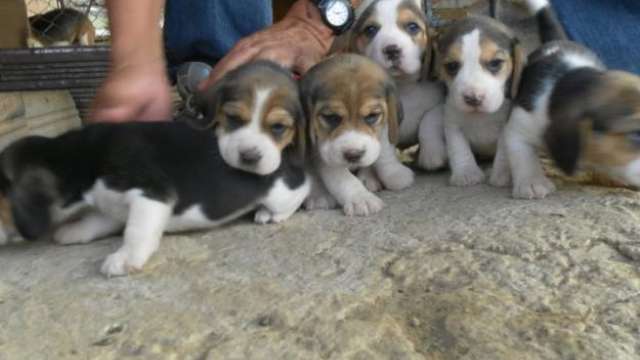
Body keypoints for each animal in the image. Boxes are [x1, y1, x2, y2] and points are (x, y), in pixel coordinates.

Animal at [0, 61, 310, 276]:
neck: (85, 157)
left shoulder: (150, 195)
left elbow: (136, 232)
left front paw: (124, 259)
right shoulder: (112, 204)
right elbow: (98, 220)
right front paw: (75, 230)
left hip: (280, 192)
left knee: (298, 194)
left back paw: (269, 214)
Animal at [298, 54, 410, 217]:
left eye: (372, 116)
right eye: (332, 118)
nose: (353, 155)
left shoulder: (382, 129)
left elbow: (384, 150)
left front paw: (395, 172)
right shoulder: (324, 153)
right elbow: (343, 178)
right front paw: (361, 198)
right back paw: (319, 196)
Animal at [348, 0, 448, 172]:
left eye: (412, 27)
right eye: (370, 29)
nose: (391, 50)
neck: (403, 86)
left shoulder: (439, 103)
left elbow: (429, 120)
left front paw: (432, 156)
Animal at [436, 13, 524, 186]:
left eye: (495, 63)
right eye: (452, 66)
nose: (473, 98)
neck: (480, 117)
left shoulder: (506, 125)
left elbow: (503, 150)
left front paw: (501, 175)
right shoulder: (452, 121)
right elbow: (458, 147)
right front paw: (466, 173)